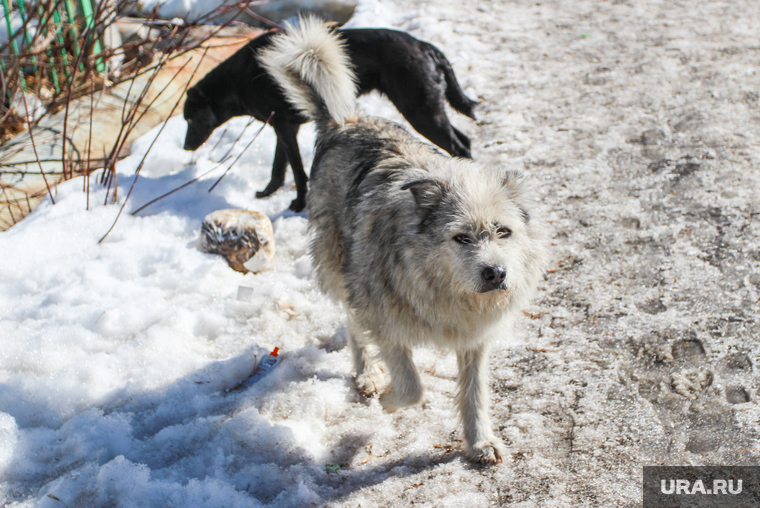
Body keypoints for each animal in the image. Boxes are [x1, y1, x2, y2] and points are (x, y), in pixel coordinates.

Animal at [183, 28, 476, 210]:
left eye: (190, 119)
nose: (185, 147)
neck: (239, 78)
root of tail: (426, 46)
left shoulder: (285, 127)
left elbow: (297, 170)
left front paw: (298, 204)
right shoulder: (282, 127)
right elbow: (279, 168)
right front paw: (267, 193)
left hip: (420, 110)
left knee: (459, 145)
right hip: (428, 109)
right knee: (464, 140)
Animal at [260, 18, 548, 464]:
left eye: (504, 232)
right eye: (461, 237)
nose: (497, 273)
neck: (442, 290)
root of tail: (345, 122)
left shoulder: (475, 340)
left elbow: (475, 394)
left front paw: (479, 442)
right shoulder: (383, 319)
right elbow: (413, 386)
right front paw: (389, 400)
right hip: (344, 272)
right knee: (352, 324)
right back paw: (367, 376)